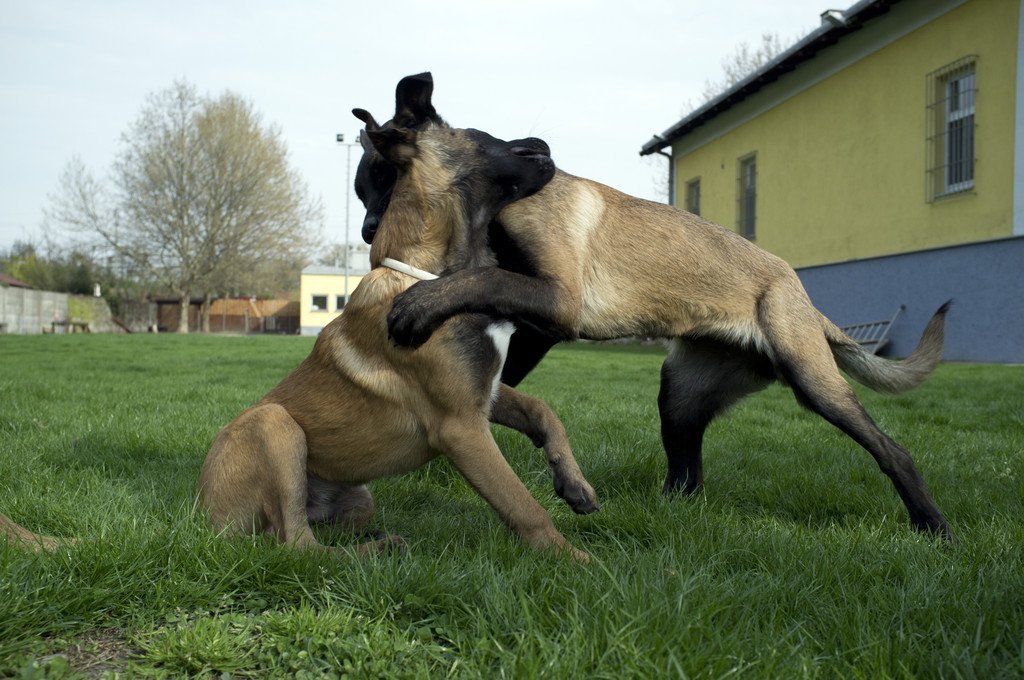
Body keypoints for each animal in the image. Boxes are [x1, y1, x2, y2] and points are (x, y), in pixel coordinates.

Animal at [1, 123, 594, 561]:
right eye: (479, 135)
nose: (545, 146)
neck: (430, 276)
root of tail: (195, 517)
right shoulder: (461, 426)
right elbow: (522, 505)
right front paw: (577, 562)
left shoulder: (484, 394)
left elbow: (541, 409)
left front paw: (574, 484)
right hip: (275, 426)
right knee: (296, 546)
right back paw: (376, 554)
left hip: (356, 496)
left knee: (295, 537)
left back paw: (375, 544)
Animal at [356, 73, 955, 542]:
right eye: (363, 191)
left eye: (384, 178)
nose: (367, 234)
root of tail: (794, 287)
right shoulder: (536, 323)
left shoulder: (555, 301)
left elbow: (482, 277)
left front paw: (419, 305)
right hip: (680, 398)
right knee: (688, 476)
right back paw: (664, 516)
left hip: (813, 381)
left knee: (891, 451)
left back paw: (933, 526)